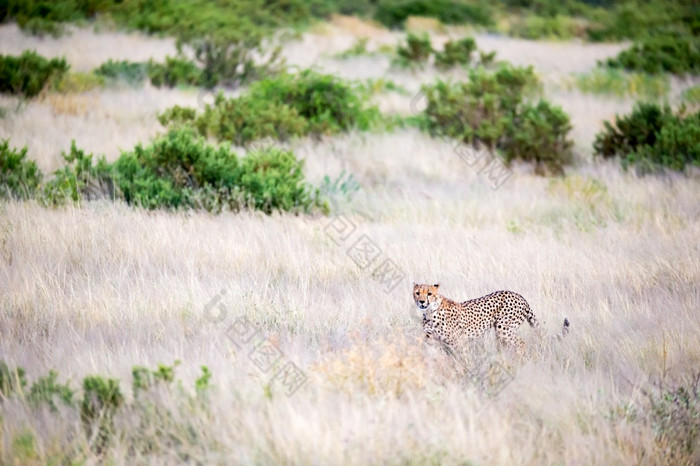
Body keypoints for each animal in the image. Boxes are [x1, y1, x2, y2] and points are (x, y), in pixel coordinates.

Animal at [412, 284, 568, 354]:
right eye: (417, 293)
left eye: (429, 293)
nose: (421, 302)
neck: (430, 312)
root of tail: (520, 296)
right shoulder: (430, 340)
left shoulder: (459, 342)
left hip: (504, 329)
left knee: (521, 344)